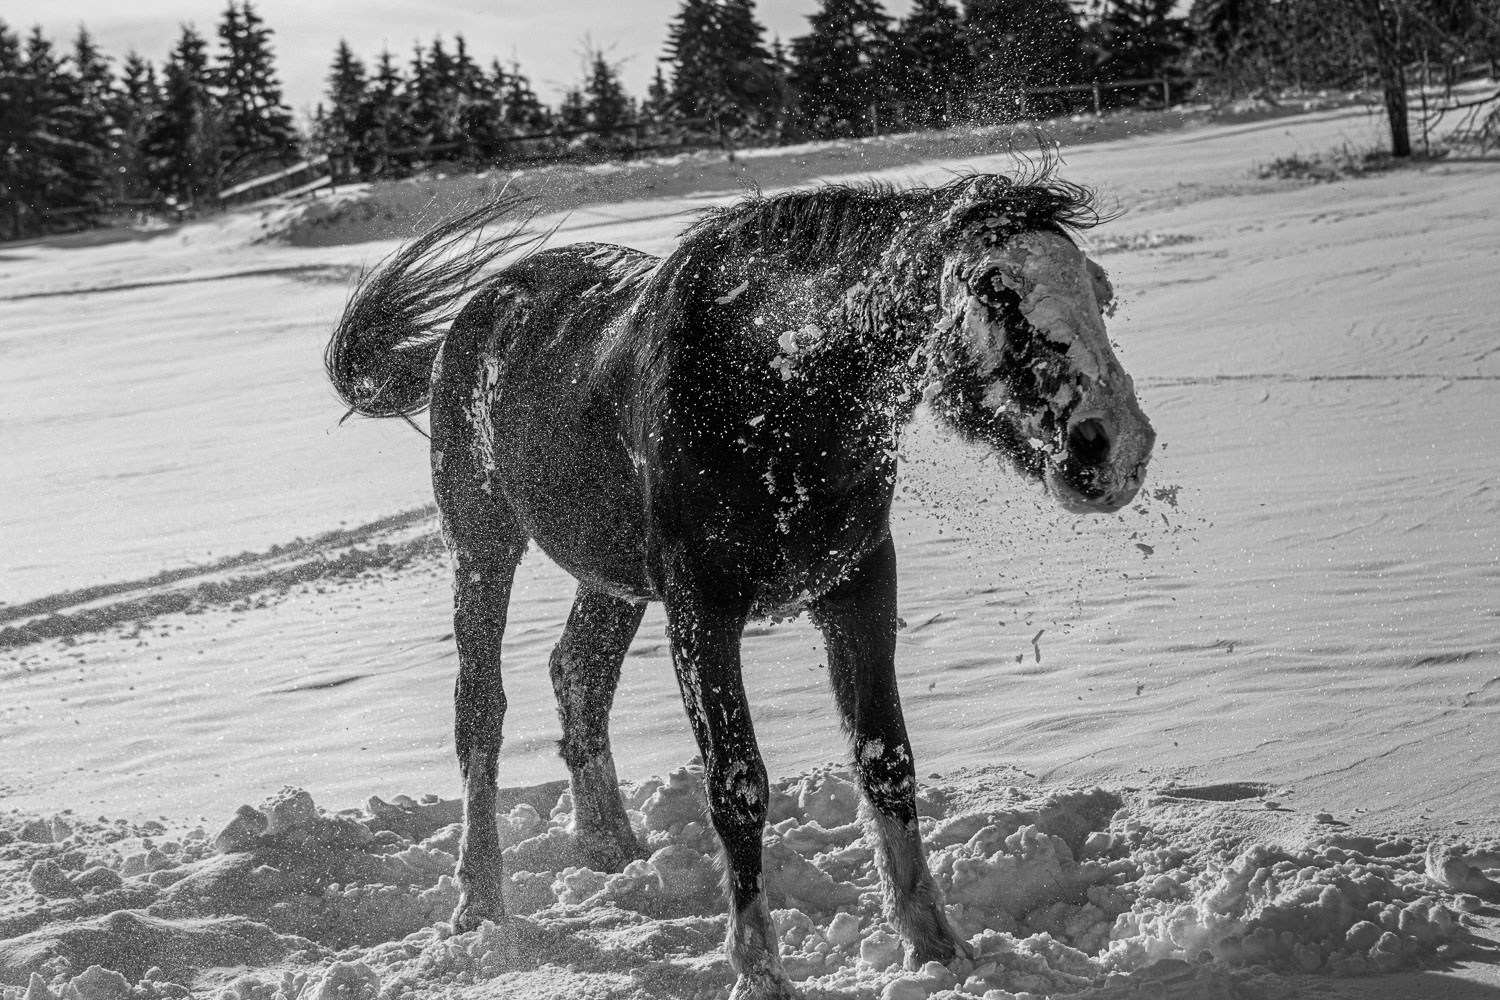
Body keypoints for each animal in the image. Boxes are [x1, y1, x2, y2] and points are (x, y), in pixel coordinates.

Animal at [322, 173, 1152, 1000]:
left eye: (1099, 294)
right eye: (996, 292)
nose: (1119, 448)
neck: (771, 385)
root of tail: (479, 311)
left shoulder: (859, 585)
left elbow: (886, 759)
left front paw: (935, 946)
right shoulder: (702, 609)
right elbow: (738, 783)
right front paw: (759, 971)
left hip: (613, 580)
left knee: (578, 676)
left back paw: (611, 846)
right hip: (481, 546)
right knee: (480, 709)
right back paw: (479, 900)